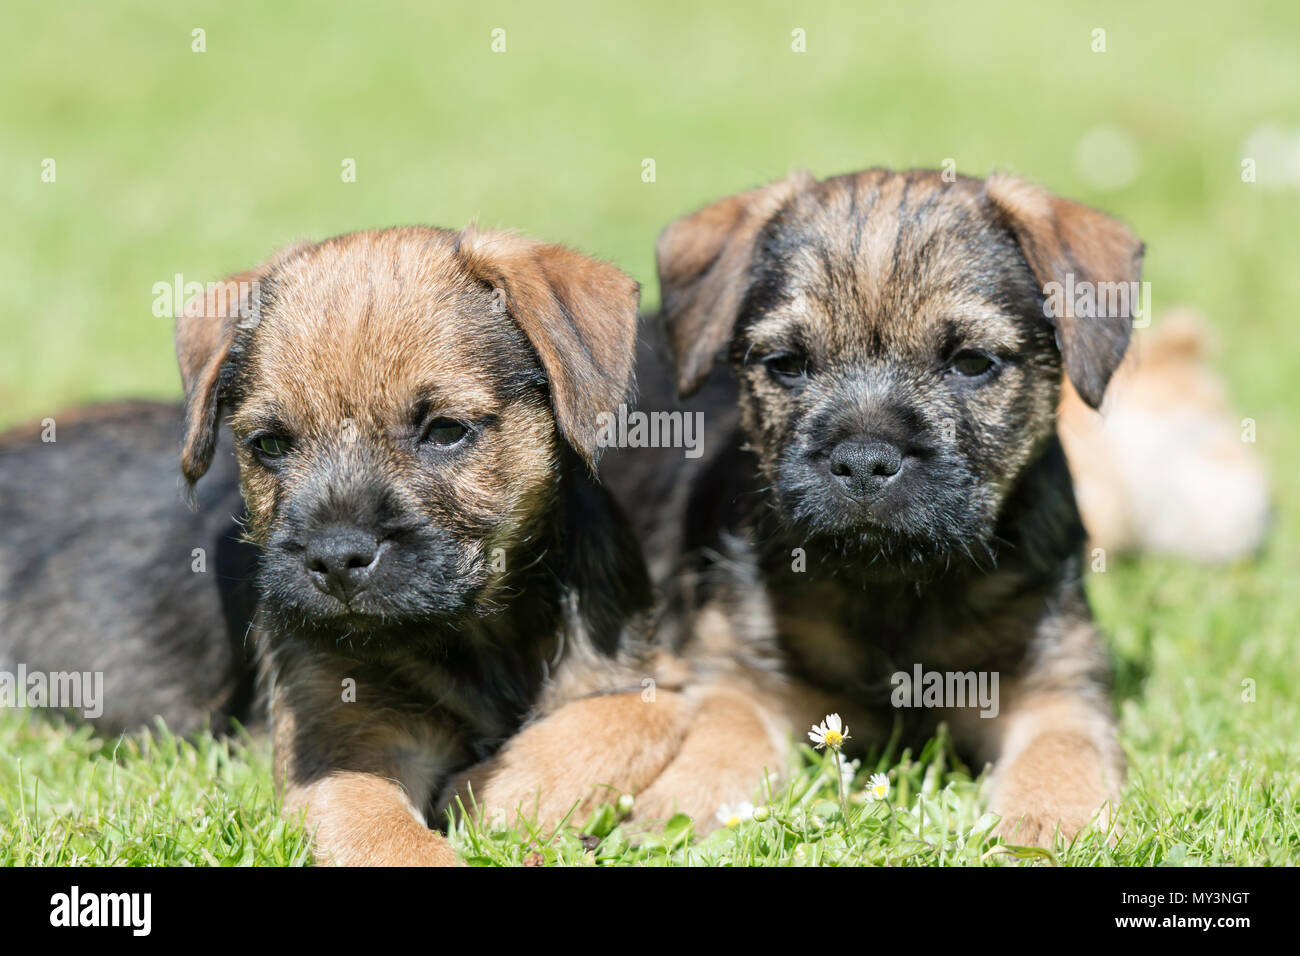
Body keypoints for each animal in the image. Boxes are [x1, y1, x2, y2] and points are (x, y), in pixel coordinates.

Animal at [171, 226, 660, 868]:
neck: (477, 639)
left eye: (446, 430)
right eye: (270, 445)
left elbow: (628, 717)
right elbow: (394, 841)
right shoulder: (340, 754)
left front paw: (496, 790)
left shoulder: (632, 671)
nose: (336, 558)